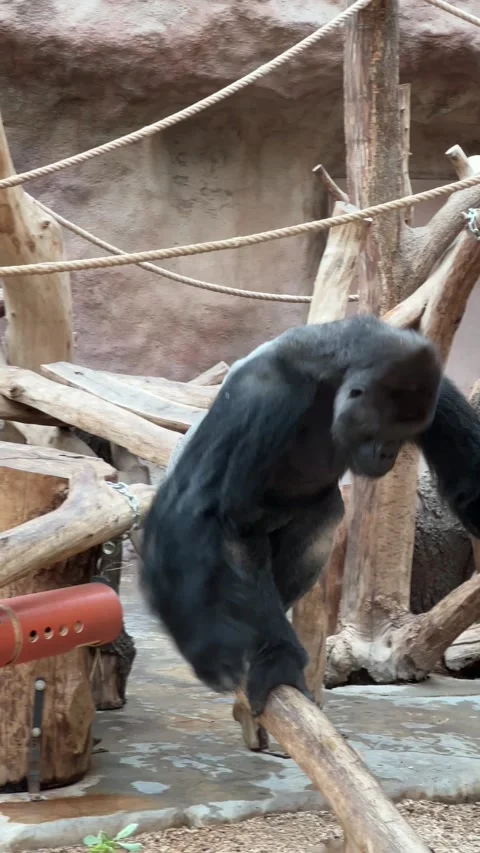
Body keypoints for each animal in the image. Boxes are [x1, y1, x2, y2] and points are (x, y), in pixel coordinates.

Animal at [140, 314, 480, 719]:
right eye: (384, 431)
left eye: (406, 433)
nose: (388, 455)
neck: (335, 372)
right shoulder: (266, 391)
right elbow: (199, 507)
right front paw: (212, 643)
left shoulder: (432, 387)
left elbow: (471, 483)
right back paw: (267, 649)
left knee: (323, 513)